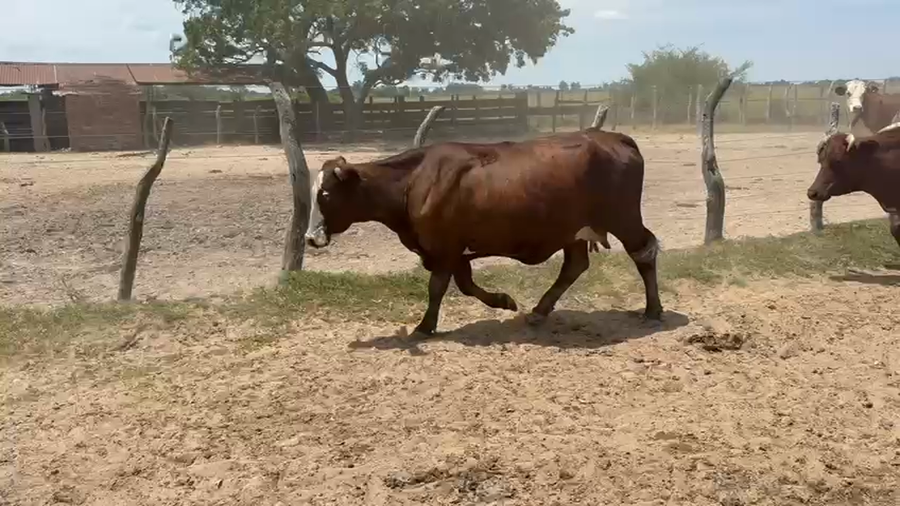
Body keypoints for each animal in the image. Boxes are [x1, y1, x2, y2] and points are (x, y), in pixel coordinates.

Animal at [304, 128, 662, 336]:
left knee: (644, 252)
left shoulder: (444, 247)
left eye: (326, 195)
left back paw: (653, 311)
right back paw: (539, 312)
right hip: (572, 231)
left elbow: (438, 287)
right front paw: (502, 301)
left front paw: (425, 326)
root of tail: (613, 137)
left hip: (623, 218)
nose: (310, 237)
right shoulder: (453, 249)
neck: (413, 181)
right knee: (575, 266)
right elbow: (465, 285)